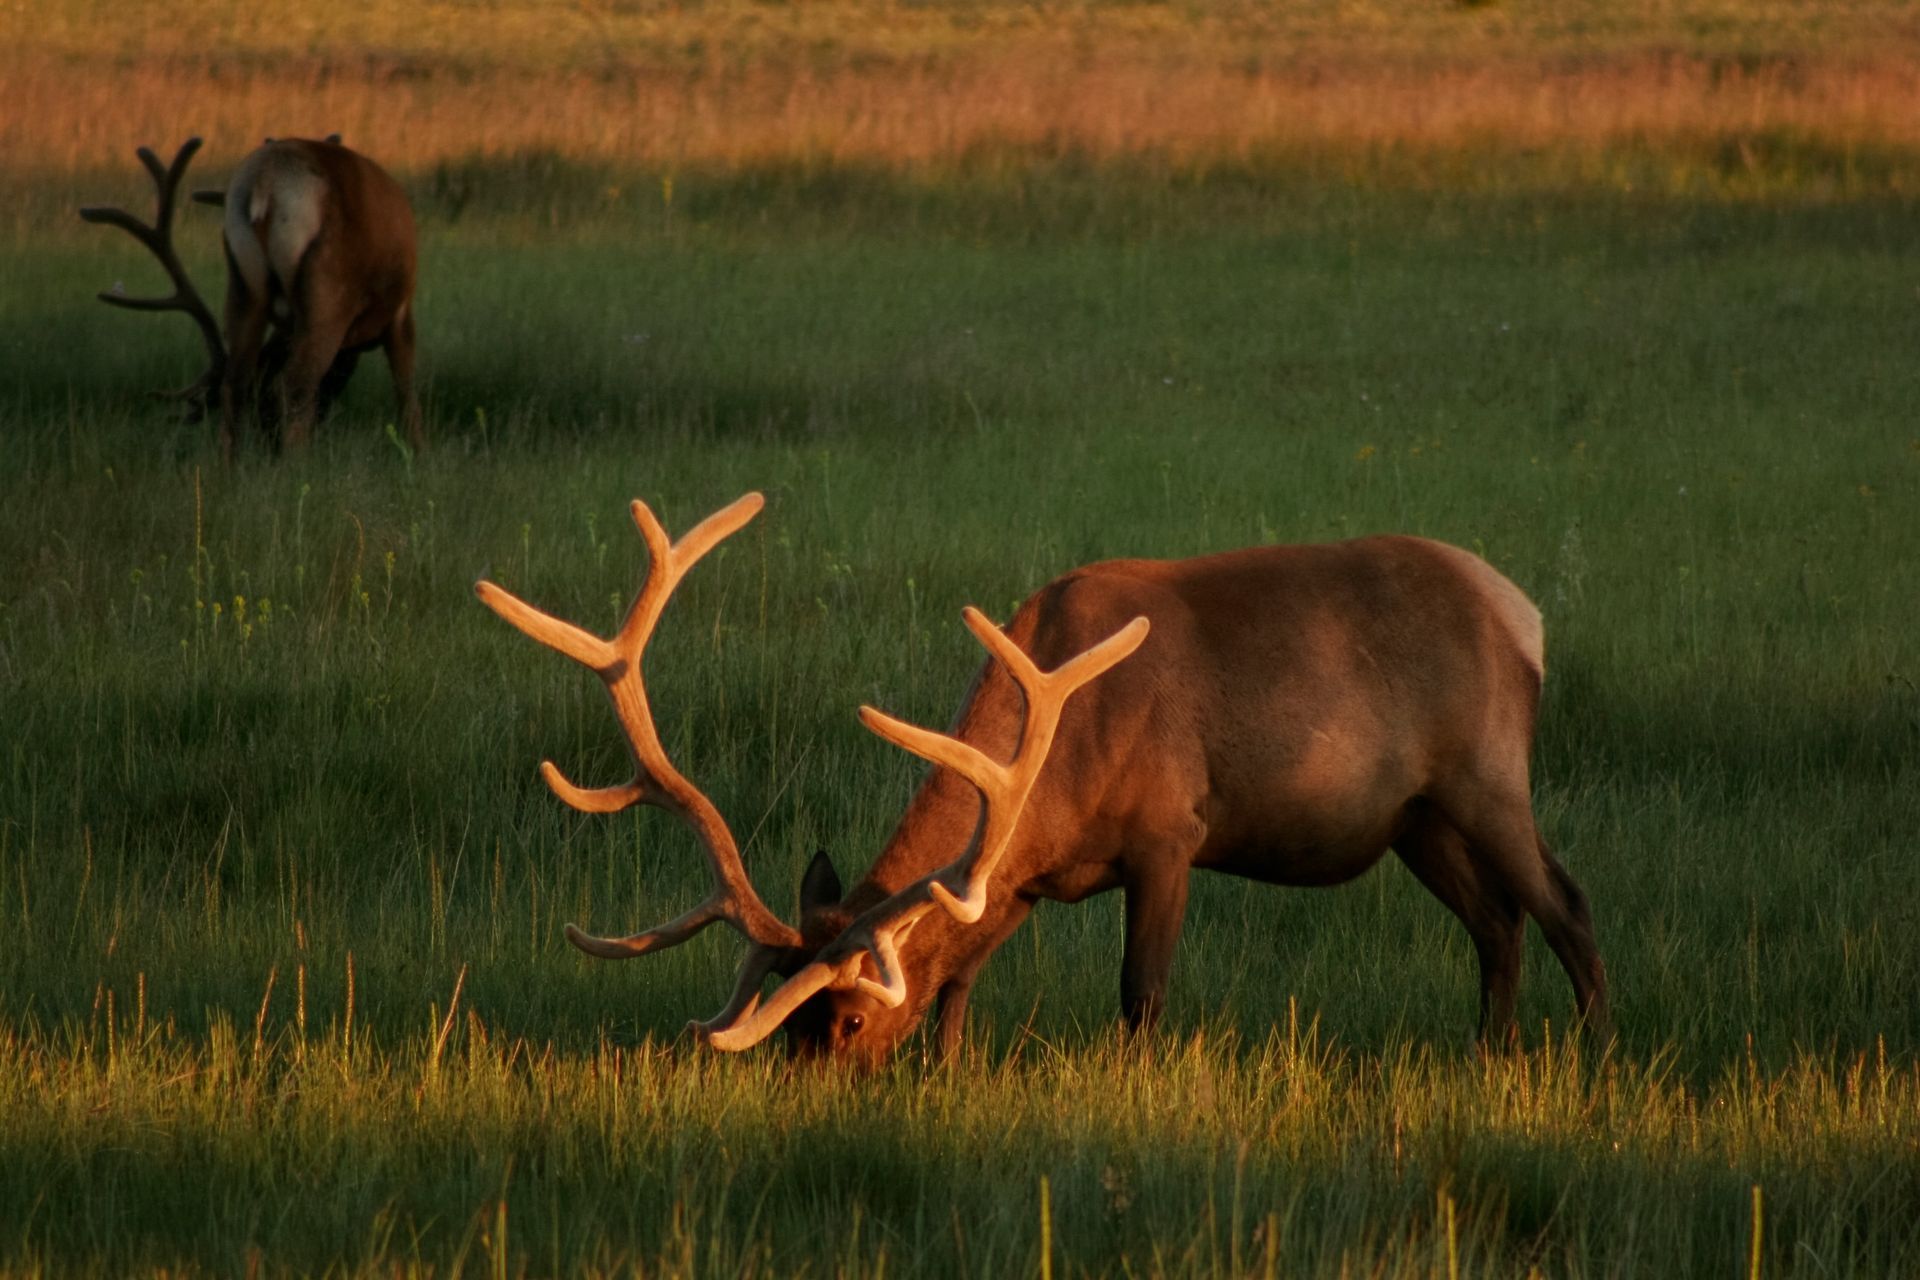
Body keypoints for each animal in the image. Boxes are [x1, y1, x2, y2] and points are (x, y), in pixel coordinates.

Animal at [80, 136, 423, 460]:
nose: (268, 444)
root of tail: (266, 182)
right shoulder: (399, 312)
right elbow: (406, 391)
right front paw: (416, 455)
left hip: (243, 280)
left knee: (237, 383)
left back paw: (230, 469)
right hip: (329, 290)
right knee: (296, 385)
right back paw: (294, 466)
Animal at [476, 493, 1610, 1063]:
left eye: (848, 1019)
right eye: (792, 1024)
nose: (814, 1089)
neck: (1053, 779)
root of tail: (1525, 614)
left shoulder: (1169, 832)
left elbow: (1141, 991)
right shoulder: (1023, 878)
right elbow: (957, 983)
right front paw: (946, 1078)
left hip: (1487, 775)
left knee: (1564, 900)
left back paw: (1592, 1052)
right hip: (1417, 818)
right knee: (1496, 921)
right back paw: (1491, 1050)